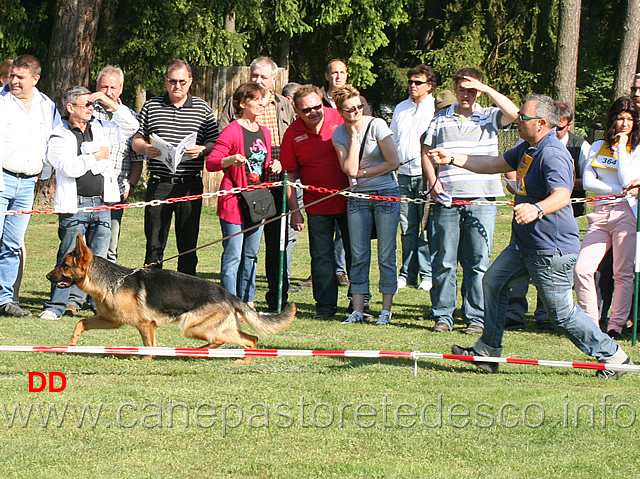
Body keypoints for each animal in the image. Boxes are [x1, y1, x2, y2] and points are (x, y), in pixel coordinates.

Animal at [47, 233, 298, 364]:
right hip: (211, 327)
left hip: (192, 326)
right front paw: (72, 344)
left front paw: (146, 360)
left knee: (230, 339)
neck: (111, 281)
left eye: (64, 266)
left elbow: (149, 346)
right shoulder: (112, 321)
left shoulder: (144, 324)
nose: (48, 276)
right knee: (250, 338)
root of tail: (228, 293)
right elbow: (81, 323)